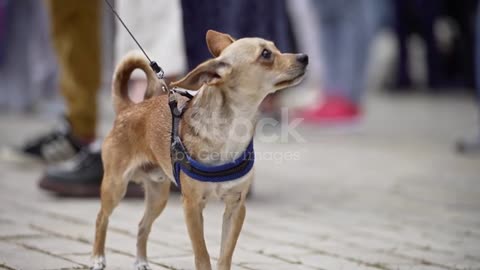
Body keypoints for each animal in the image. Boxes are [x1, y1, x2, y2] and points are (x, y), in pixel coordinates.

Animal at [92, 30, 310, 270]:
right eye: (265, 54)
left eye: (276, 48)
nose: (304, 57)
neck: (233, 126)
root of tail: (129, 108)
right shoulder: (192, 207)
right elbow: (202, 255)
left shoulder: (236, 207)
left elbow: (225, 255)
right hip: (115, 186)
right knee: (102, 217)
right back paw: (97, 258)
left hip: (158, 196)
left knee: (142, 225)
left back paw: (141, 260)